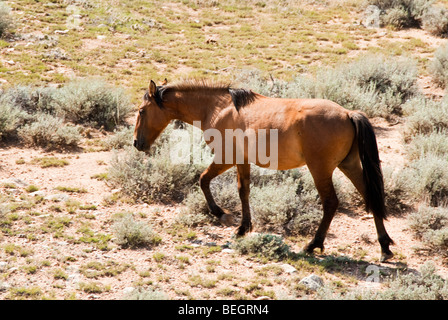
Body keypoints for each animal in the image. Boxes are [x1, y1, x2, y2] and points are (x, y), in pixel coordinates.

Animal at [134, 79, 396, 262]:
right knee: (371, 196)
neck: (218, 107)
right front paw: (244, 228)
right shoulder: (242, 161)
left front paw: (222, 214)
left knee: (331, 202)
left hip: (320, 170)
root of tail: (348, 114)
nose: (137, 143)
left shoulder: (226, 158)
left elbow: (203, 180)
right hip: (348, 165)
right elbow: (244, 191)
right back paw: (384, 247)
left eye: (141, 111)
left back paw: (313, 244)